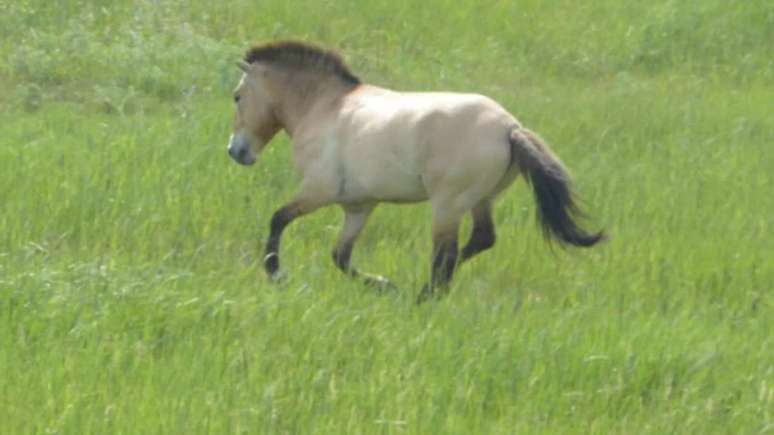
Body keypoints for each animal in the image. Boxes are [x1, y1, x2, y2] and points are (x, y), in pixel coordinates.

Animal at [226, 41, 608, 304]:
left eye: (237, 96)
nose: (235, 152)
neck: (323, 107)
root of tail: (509, 128)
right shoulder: (359, 206)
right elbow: (341, 256)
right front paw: (385, 285)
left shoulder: (318, 191)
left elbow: (278, 219)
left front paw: (276, 273)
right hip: (480, 200)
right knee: (480, 240)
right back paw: (421, 291)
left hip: (447, 204)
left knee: (446, 255)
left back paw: (424, 297)